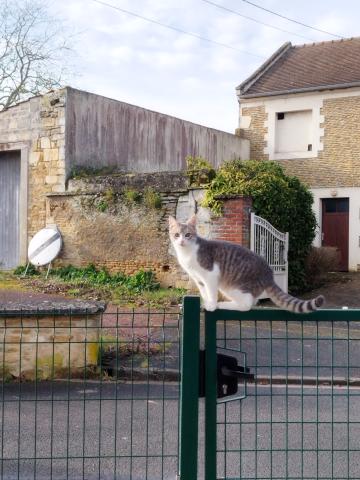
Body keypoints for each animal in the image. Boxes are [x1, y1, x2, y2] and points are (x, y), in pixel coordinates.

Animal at [168, 213, 324, 312]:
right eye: (176, 235)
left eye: (188, 235)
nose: (181, 241)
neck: (188, 252)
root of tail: (269, 274)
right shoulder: (198, 279)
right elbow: (204, 291)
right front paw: (206, 302)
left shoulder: (210, 274)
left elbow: (211, 292)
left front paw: (211, 305)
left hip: (235, 287)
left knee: (246, 305)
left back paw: (223, 305)